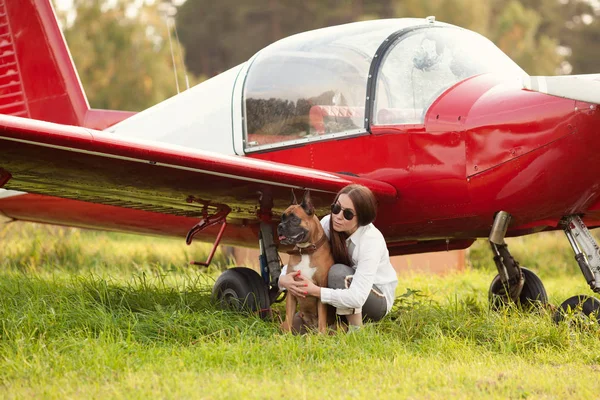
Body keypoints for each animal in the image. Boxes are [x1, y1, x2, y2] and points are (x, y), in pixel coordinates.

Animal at [276, 191, 332, 334]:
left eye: (295, 219)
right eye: (282, 218)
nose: (280, 226)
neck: (305, 251)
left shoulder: (321, 289)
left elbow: (322, 317)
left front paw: (321, 335)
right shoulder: (291, 291)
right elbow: (288, 317)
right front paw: (287, 336)